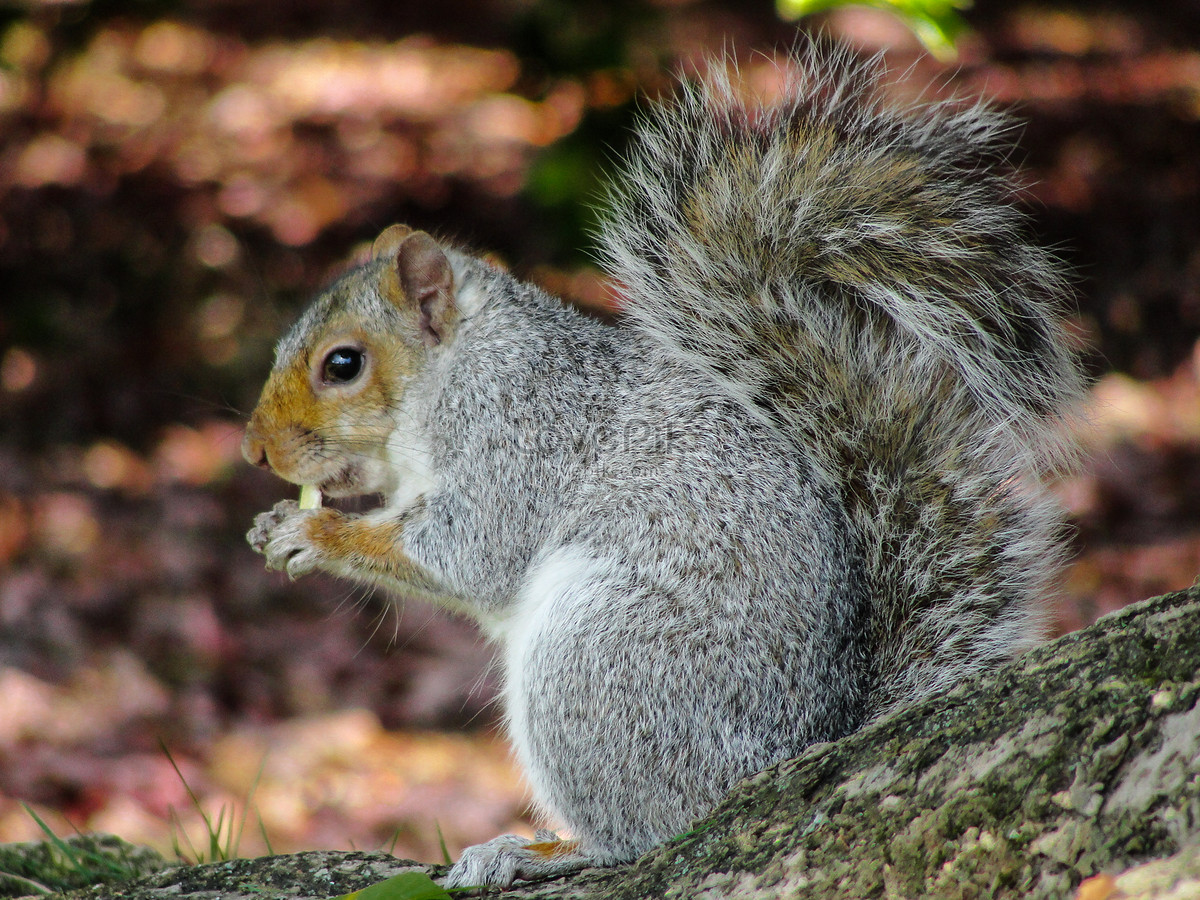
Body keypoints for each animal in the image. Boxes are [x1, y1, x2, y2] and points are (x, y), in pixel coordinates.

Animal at [238, 44, 1084, 897]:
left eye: (343, 364)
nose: (255, 451)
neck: (454, 372)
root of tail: (794, 750)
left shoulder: (518, 434)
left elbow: (471, 553)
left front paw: (313, 532)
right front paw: (275, 521)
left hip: (602, 659)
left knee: (639, 834)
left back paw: (538, 849)